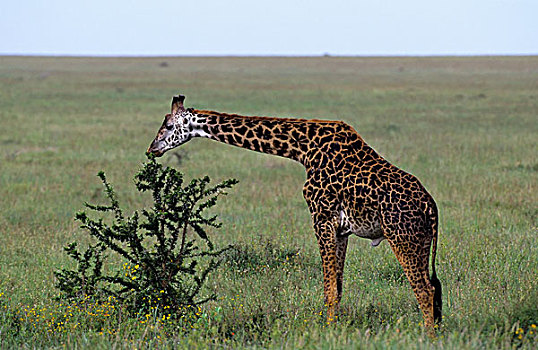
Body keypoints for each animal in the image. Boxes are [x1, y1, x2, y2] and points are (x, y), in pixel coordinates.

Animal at [146, 94, 440, 332]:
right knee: (434, 288)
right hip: (422, 241)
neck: (303, 149)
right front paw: (334, 327)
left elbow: (329, 289)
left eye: (169, 126)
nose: (152, 149)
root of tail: (431, 206)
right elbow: (338, 288)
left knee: (424, 290)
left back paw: (427, 337)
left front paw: (328, 332)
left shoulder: (321, 217)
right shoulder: (341, 229)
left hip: (402, 237)